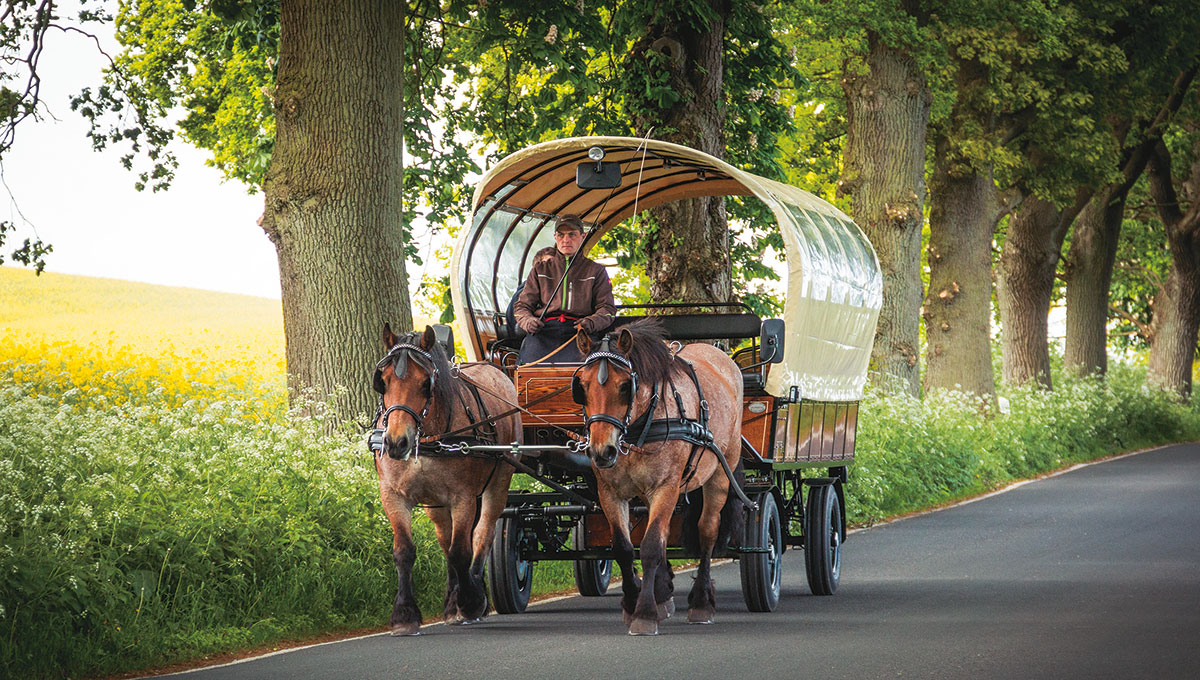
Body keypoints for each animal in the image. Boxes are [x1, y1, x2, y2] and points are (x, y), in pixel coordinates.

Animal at [369, 321, 520, 638]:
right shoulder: (393, 495)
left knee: (482, 534)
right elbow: (405, 551)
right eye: (383, 381)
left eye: (425, 383)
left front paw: (472, 601)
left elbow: (461, 551)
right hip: (436, 505)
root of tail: (493, 368)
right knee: (445, 539)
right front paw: (404, 615)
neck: (429, 438)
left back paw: (471, 591)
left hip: (498, 482)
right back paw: (453, 601)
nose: (396, 442)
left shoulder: (463, 497)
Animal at [568, 316, 739, 638]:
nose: (602, 451)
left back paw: (700, 602)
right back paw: (663, 594)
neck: (638, 428)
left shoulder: (666, 487)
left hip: (720, 476)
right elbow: (624, 548)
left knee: (707, 531)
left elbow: (649, 547)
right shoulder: (609, 491)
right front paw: (633, 602)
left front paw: (644, 613)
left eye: (626, 386)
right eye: (581, 386)